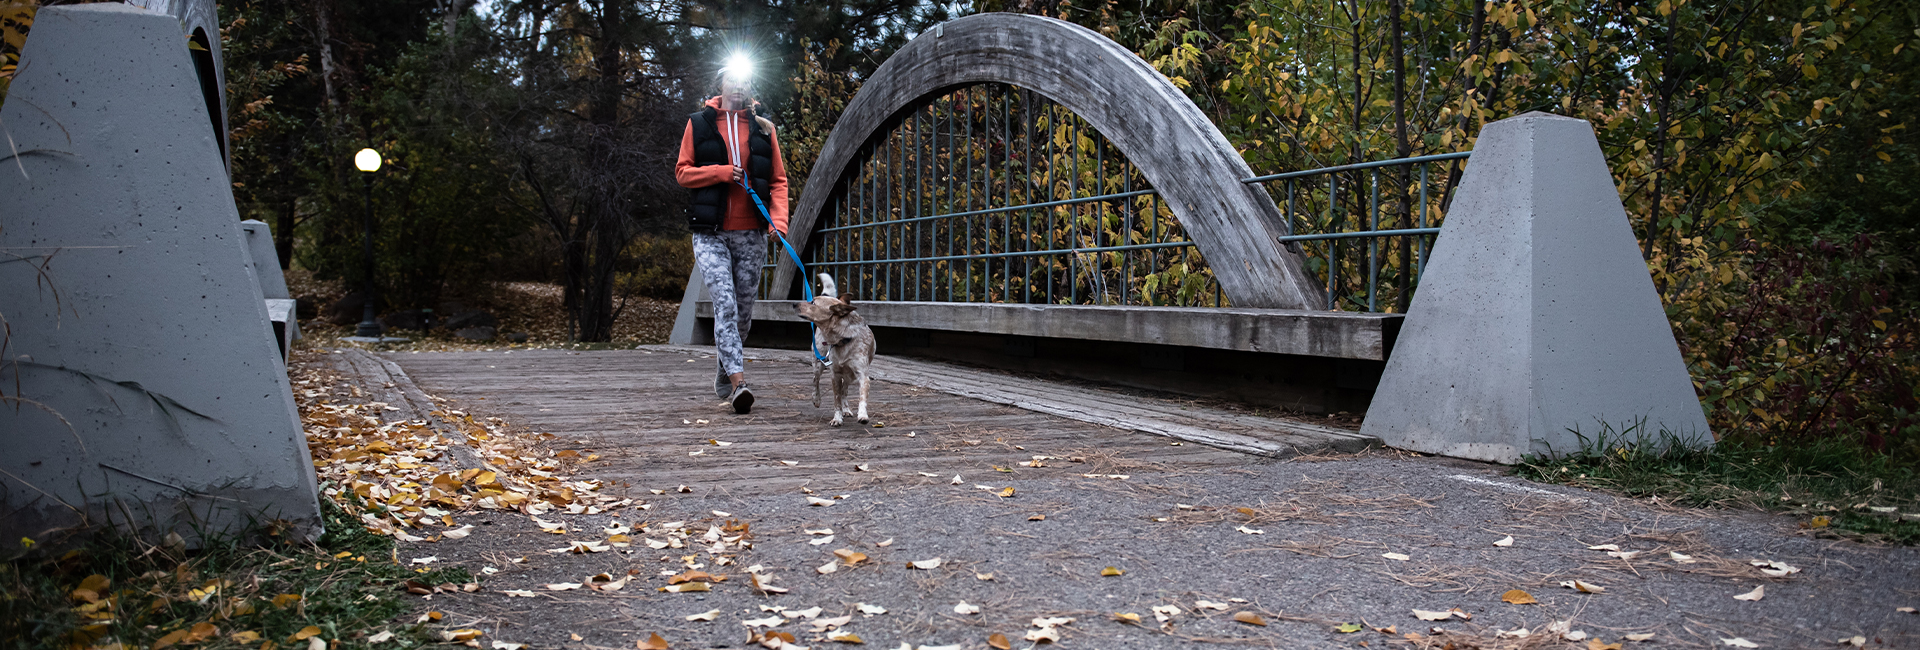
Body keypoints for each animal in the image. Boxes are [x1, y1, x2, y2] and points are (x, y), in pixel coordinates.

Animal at [791, 274, 875, 429]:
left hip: (850, 377)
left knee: (845, 391)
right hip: (818, 363)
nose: (793, 304)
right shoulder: (834, 375)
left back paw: (847, 409)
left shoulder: (862, 375)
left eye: (812, 302)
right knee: (815, 380)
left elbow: (860, 397)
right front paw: (837, 418)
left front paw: (862, 415)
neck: (843, 339)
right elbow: (836, 401)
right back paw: (816, 399)